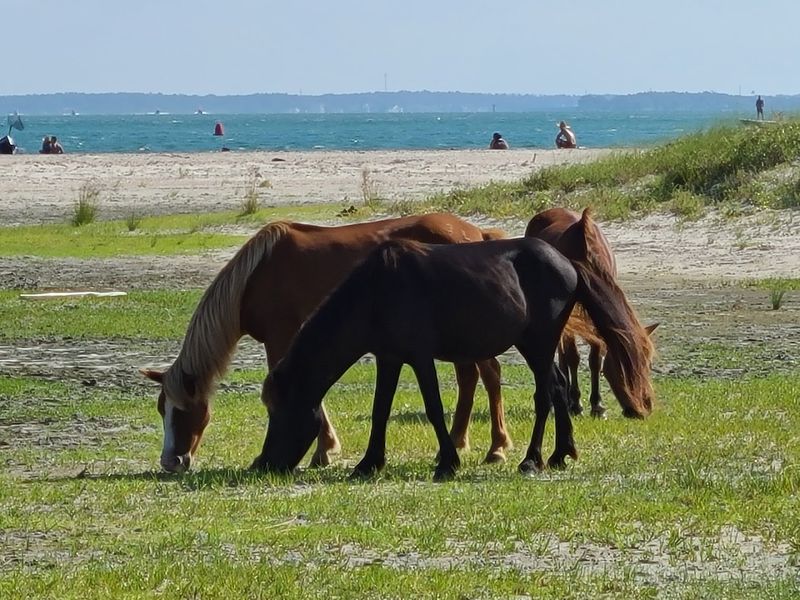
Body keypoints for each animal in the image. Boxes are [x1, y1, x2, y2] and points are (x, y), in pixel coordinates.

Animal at [140, 213, 512, 474]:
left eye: (184, 411)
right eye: (161, 410)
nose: (170, 462)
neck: (254, 277)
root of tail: (475, 233)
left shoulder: (280, 336)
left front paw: (324, 449)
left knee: (487, 375)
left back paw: (494, 448)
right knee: (474, 377)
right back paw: (462, 443)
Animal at [524, 207, 658, 418]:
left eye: (649, 365)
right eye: (625, 366)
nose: (643, 409)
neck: (586, 260)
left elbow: (595, 358)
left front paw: (597, 405)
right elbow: (573, 357)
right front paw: (576, 404)